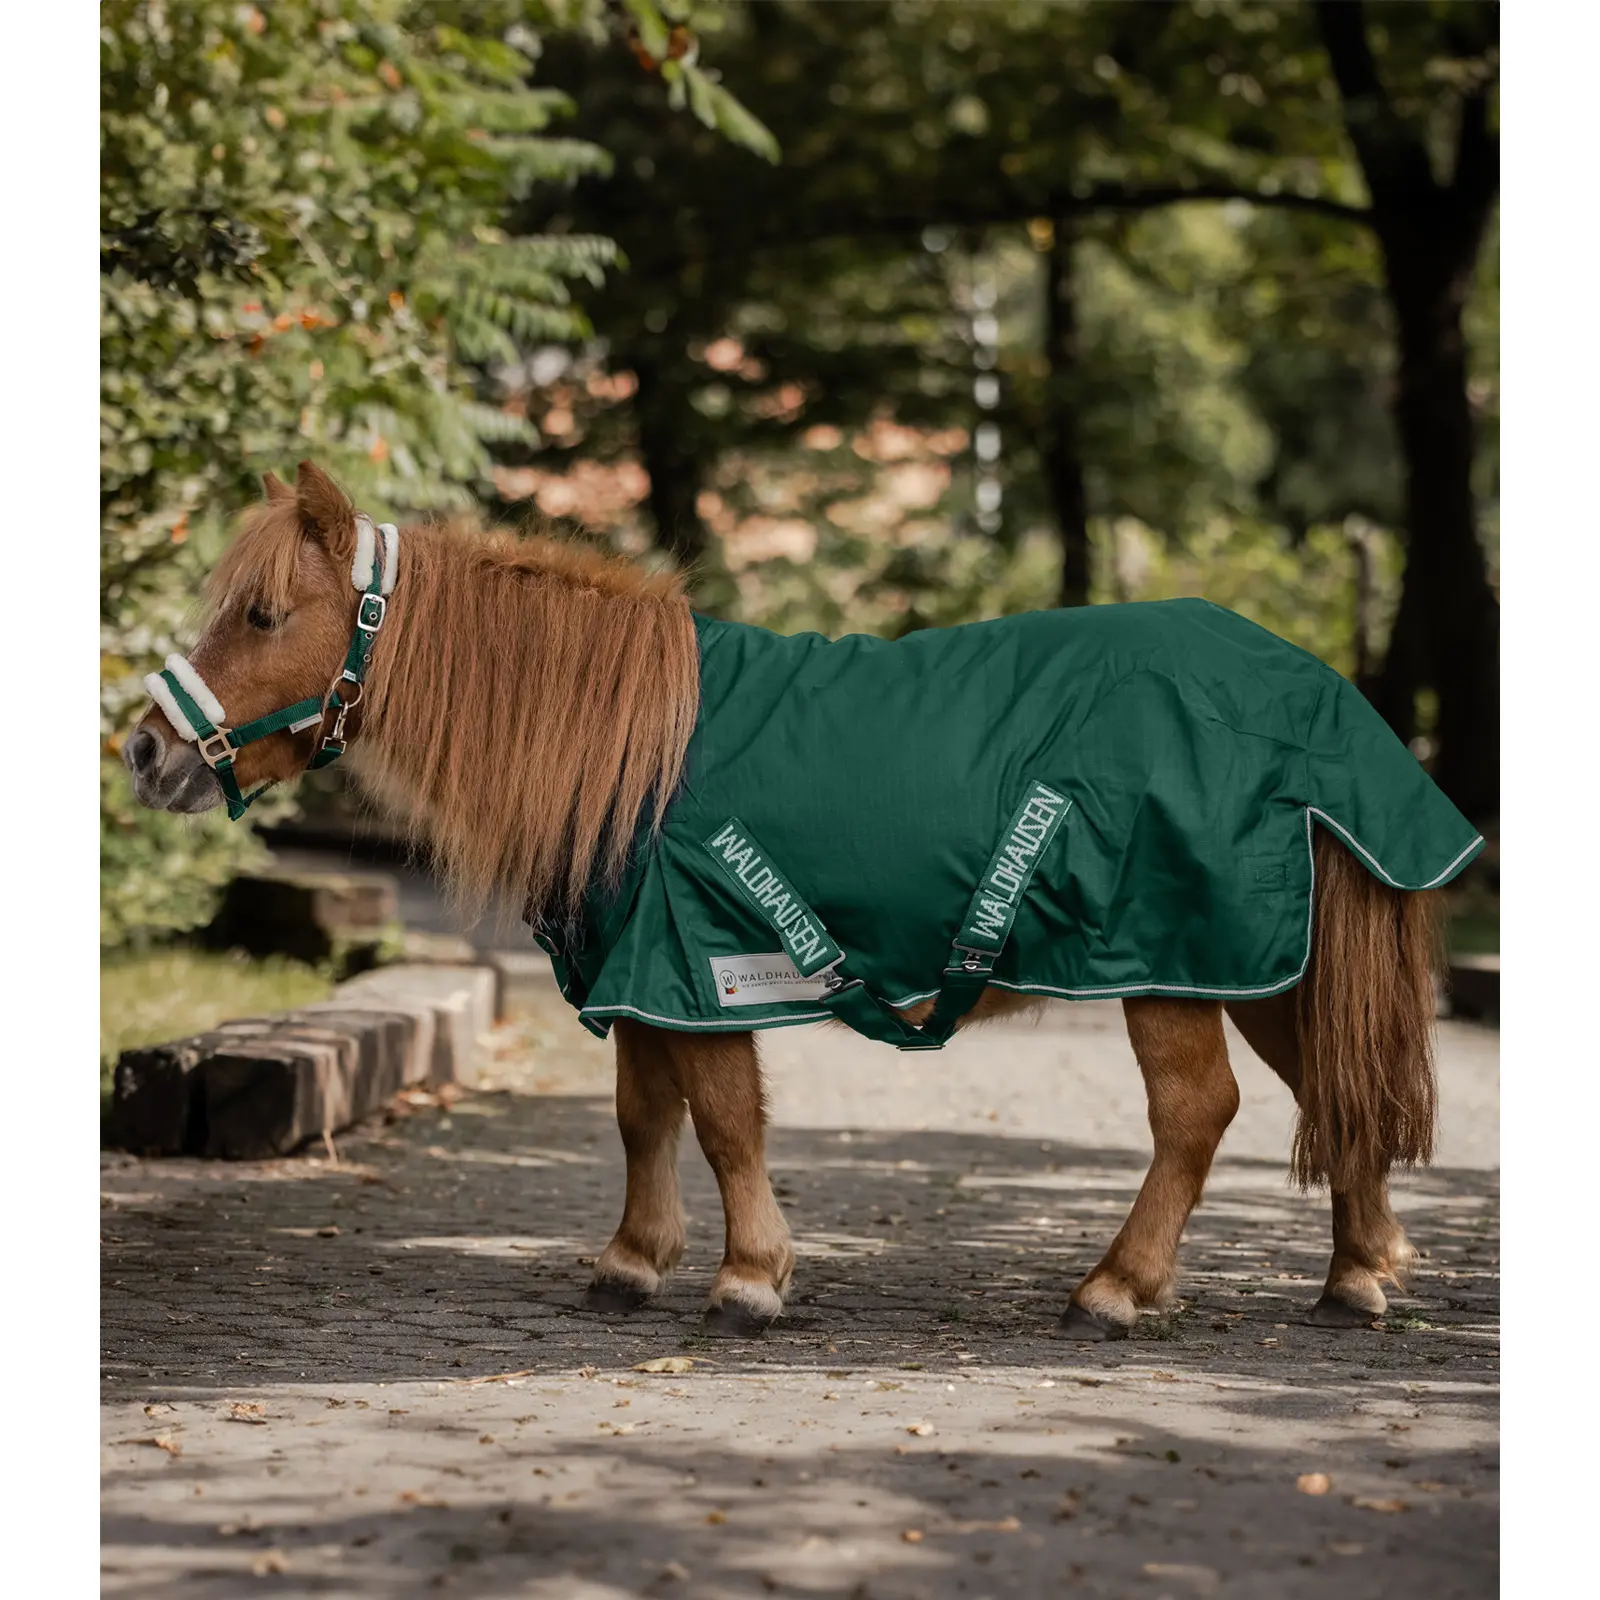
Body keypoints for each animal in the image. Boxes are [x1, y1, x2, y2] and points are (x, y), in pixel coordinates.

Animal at [124, 461, 1466, 1340]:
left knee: (1197, 1112)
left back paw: (1118, 1286)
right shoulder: (645, 973)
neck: (635, 748)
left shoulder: (705, 965)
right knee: (1334, 1087)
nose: (145, 751)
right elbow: (642, 1115)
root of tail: (1311, 697)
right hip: (1255, 962)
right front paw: (632, 1260)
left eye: (262, 613)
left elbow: (724, 1120)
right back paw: (1357, 1273)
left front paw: (750, 1276)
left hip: (1166, 961)